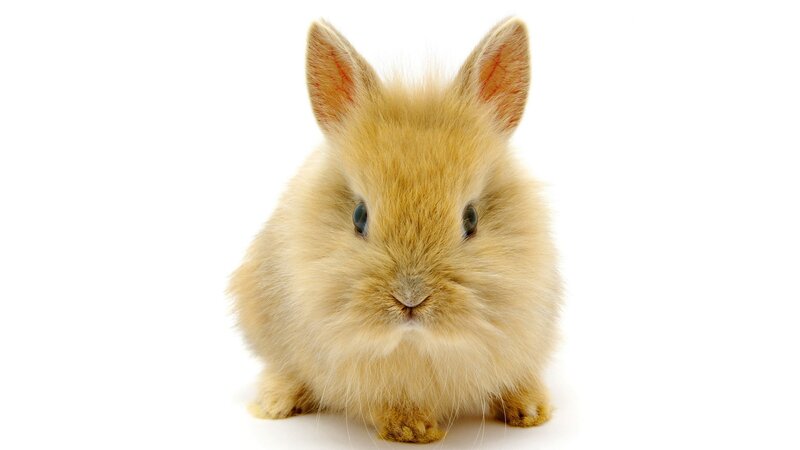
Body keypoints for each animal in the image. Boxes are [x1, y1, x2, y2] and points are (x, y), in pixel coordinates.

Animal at [229, 17, 562, 444]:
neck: (417, 345)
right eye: (359, 216)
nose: (410, 299)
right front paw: (413, 429)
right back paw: (276, 402)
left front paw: (531, 411)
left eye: (470, 219)